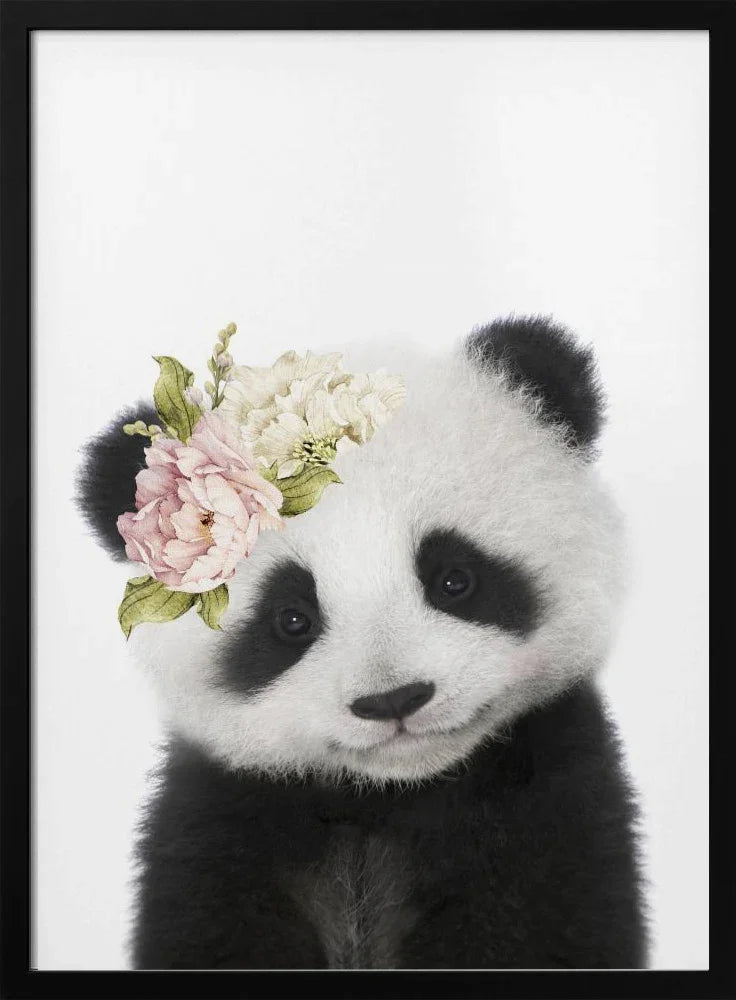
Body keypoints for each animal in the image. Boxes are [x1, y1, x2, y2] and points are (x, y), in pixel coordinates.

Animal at [77, 315, 648, 970]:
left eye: (455, 579)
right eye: (291, 619)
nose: (394, 700)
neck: (387, 799)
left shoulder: (548, 799)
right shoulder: (219, 823)